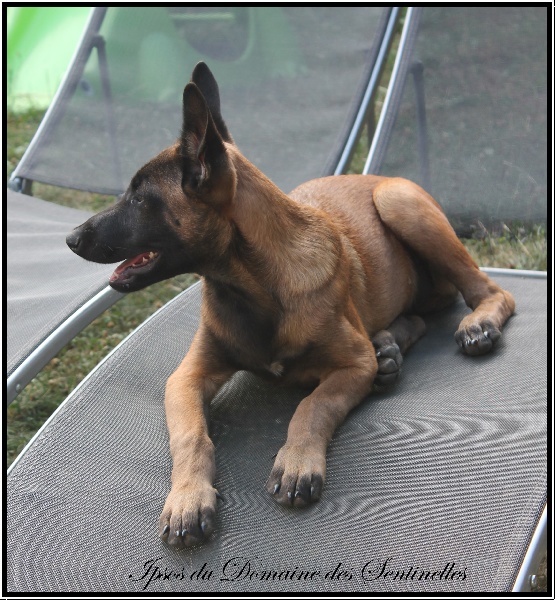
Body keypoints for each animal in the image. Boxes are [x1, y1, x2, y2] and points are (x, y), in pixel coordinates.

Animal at [67, 62, 515, 548]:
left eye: (138, 198)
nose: (70, 238)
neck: (255, 289)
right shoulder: (185, 378)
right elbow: (191, 437)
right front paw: (188, 496)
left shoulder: (352, 365)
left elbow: (311, 407)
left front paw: (298, 459)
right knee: (416, 317)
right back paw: (389, 349)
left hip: (400, 201)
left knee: (490, 292)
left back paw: (476, 325)